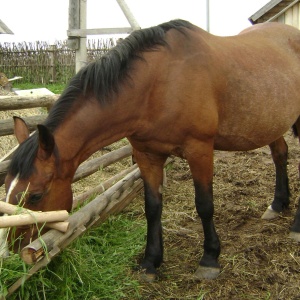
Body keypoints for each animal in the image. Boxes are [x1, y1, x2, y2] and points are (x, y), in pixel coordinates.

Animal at [0, 19, 300, 280]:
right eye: (8, 187)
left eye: (36, 196)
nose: (14, 250)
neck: (158, 83)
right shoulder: (147, 155)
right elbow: (153, 207)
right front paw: (150, 262)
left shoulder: (200, 150)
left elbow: (204, 204)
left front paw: (209, 259)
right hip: (271, 122)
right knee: (280, 154)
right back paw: (277, 204)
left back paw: (295, 226)